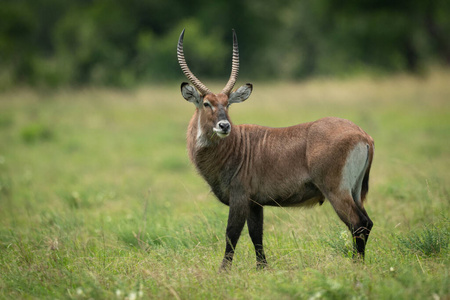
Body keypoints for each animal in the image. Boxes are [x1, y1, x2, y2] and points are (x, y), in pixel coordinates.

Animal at [178, 29, 374, 270]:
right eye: (207, 104)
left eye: (227, 104)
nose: (224, 126)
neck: (235, 147)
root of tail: (363, 135)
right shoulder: (255, 203)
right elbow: (256, 234)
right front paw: (262, 268)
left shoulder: (240, 198)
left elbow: (232, 234)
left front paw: (223, 271)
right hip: (355, 191)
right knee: (366, 223)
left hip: (336, 191)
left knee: (358, 223)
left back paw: (356, 266)